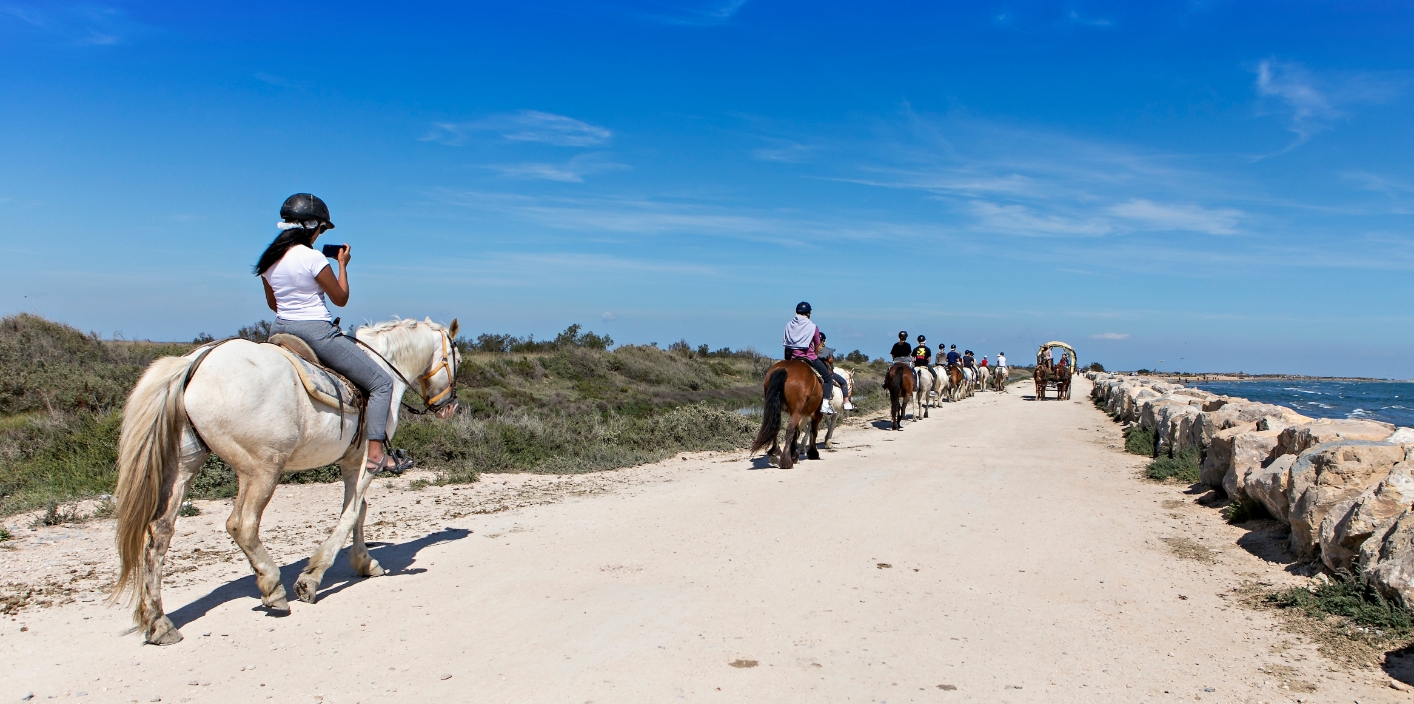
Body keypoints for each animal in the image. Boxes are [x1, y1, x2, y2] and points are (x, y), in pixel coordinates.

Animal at [111, 318, 460, 645]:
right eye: (457, 357)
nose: (450, 407)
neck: (383, 363)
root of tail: (197, 361)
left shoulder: (350, 463)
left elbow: (359, 511)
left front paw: (364, 562)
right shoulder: (364, 463)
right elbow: (352, 512)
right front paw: (312, 578)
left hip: (185, 465)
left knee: (159, 531)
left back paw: (159, 622)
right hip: (262, 469)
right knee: (242, 524)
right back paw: (273, 588)